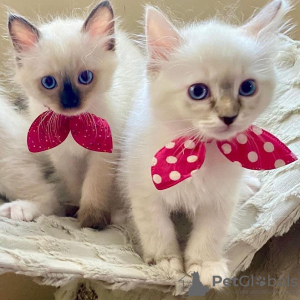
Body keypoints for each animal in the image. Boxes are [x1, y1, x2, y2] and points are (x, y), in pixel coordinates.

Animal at [7, 1, 143, 229]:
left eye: (85, 77)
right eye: (49, 82)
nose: (70, 103)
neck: (72, 123)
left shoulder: (102, 157)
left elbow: (93, 187)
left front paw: (91, 220)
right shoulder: (63, 158)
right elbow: (75, 186)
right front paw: (75, 209)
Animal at [118, 0, 290, 288]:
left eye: (247, 87)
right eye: (198, 91)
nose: (229, 117)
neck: (199, 151)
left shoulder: (220, 200)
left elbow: (209, 234)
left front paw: (204, 266)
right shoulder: (145, 192)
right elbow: (157, 229)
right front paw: (166, 263)